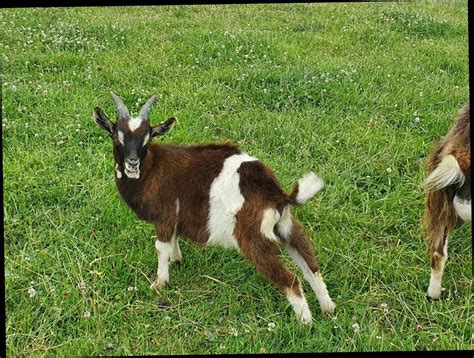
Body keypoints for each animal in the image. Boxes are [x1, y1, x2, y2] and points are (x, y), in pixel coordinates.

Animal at [93, 93, 336, 324]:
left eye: (147, 138)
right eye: (116, 137)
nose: (132, 164)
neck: (153, 168)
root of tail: (278, 195)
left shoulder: (165, 216)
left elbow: (161, 247)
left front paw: (159, 283)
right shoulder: (175, 219)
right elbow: (173, 241)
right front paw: (177, 260)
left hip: (254, 238)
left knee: (291, 280)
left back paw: (305, 323)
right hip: (287, 227)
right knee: (311, 267)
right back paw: (328, 309)